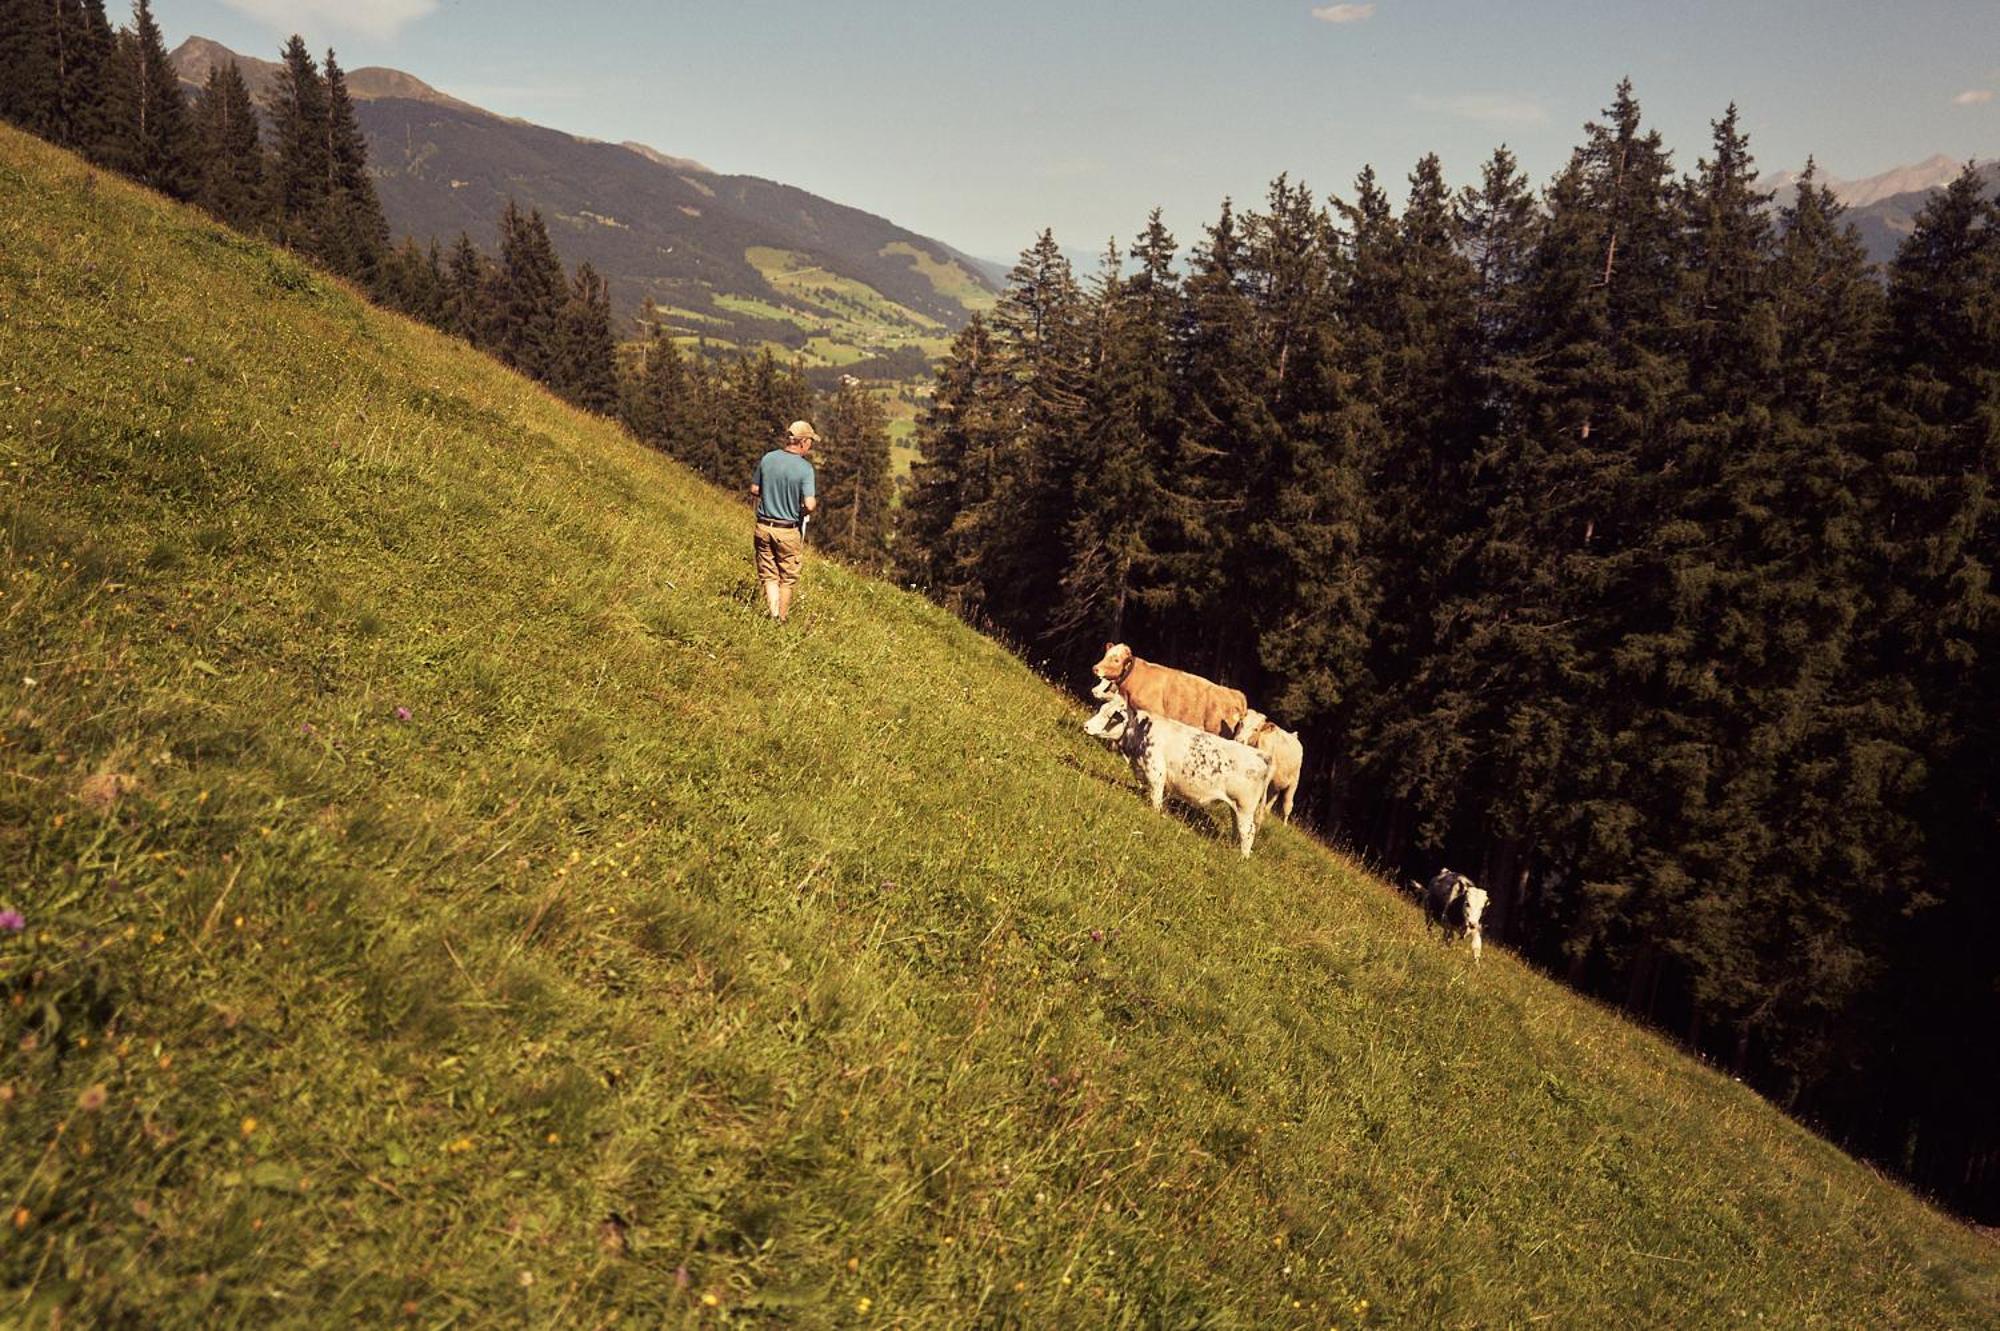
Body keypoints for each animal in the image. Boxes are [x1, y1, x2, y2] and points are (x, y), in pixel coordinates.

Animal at [1088, 687, 1272, 855]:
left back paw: (1242, 857)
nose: (1086, 726)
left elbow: (1155, 799)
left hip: (1245, 808)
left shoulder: (1156, 773)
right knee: (1237, 829)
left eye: (1110, 716)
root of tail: (1261, 755)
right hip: (1236, 808)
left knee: (1248, 832)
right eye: (1101, 709)